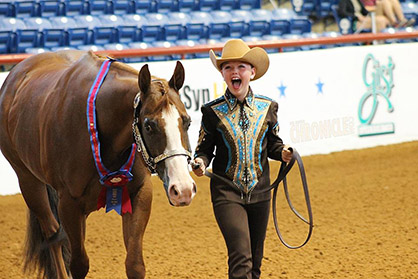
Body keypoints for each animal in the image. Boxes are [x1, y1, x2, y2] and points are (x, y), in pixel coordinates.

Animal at [0, 50, 196, 279]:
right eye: (149, 125)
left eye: (187, 121)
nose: (183, 189)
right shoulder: (69, 205)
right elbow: (79, 264)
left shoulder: (140, 193)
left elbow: (135, 264)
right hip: (29, 182)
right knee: (52, 235)